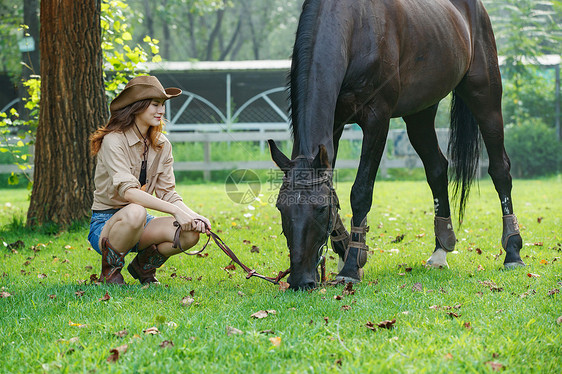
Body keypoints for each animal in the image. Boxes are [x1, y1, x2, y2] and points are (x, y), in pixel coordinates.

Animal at [266, 0, 520, 290]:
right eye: (281, 207)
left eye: (320, 209)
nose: (301, 280)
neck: (354, 27)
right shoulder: (336, 123)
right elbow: (334, 188)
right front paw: (346, 250)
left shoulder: (378, 119)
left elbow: (360, 192)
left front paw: (351, 266)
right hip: (420, 112)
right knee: (437, 168)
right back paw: (440, 250)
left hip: (485, 96)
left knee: (500, 169)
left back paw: (513, 251)